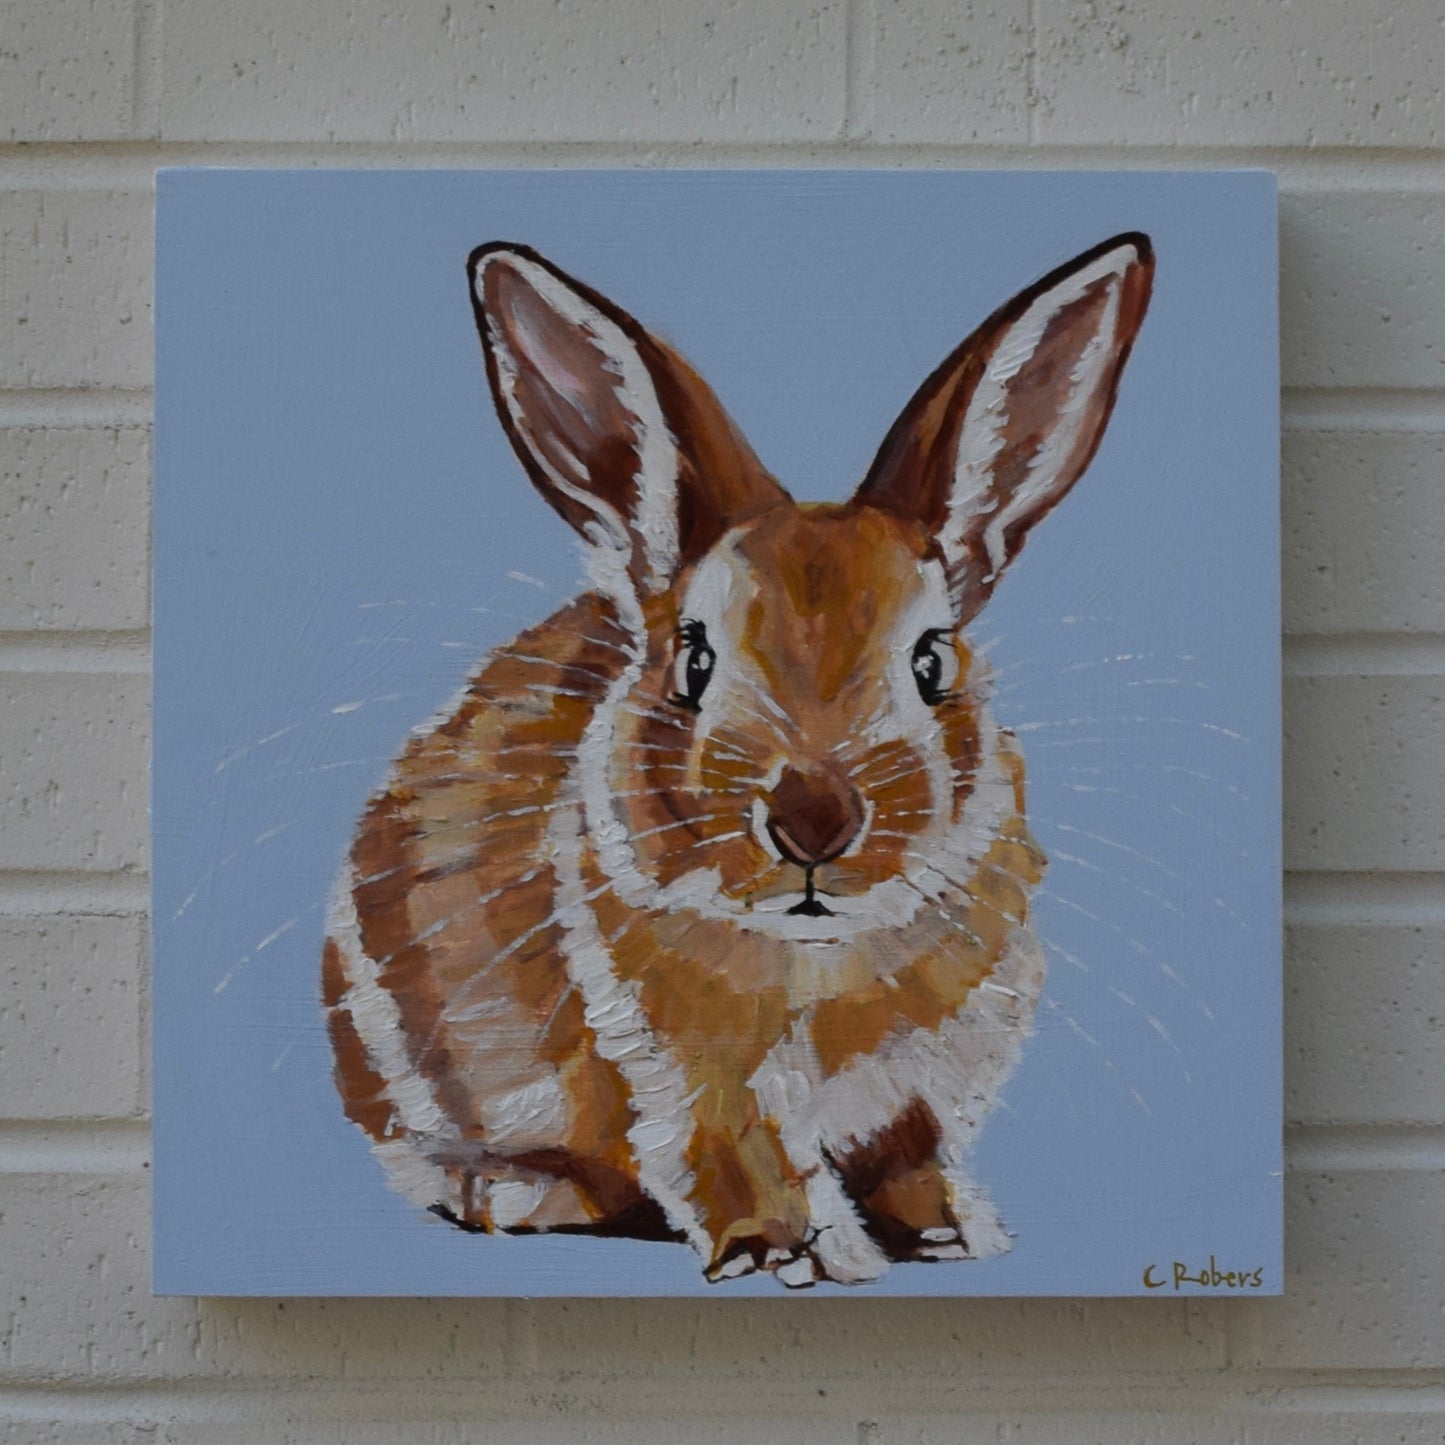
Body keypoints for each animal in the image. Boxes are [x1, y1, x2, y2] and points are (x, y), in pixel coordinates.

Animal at [322, 231, 1154, 1287]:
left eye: (932, 661)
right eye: (693, 659)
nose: (813, 820)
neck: (822, 954)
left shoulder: (921, 1091)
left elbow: (914, 1157)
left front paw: (953, 1234)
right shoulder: (691, 1085)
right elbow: (742, 1166)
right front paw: (793, 1255)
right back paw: (516, 1194)